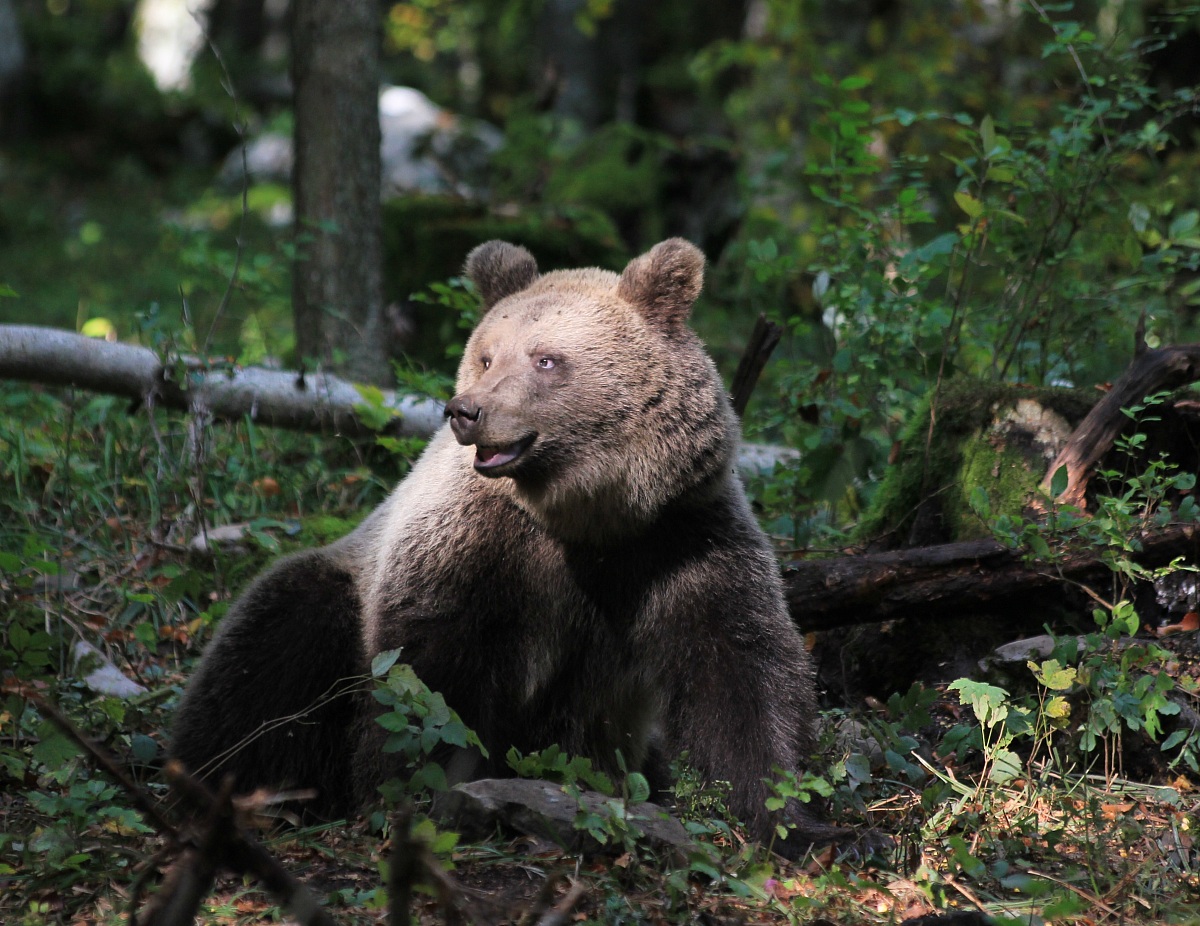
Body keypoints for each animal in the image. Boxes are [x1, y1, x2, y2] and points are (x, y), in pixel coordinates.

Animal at [171, 238, 835, 851]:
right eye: (486, 356)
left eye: (547, 359)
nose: (467, 411)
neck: (586, 516)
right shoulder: (475, 548)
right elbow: (432, 679)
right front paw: (427, 792)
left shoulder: (677, 537)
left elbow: (743, 670)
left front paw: (797, 821)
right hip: (330, 596)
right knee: (270, 655)